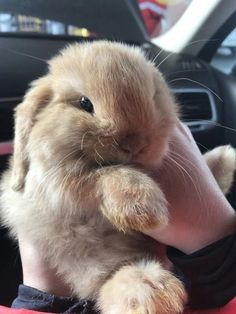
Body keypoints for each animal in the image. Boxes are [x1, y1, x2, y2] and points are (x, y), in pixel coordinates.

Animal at [0, 40, 234, 312]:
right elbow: (105, 175)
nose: (135, 144)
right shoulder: (55, 183)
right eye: (84, 103)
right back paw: (153, 295)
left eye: (153, 96)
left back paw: (224, 159)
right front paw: (147, 211)